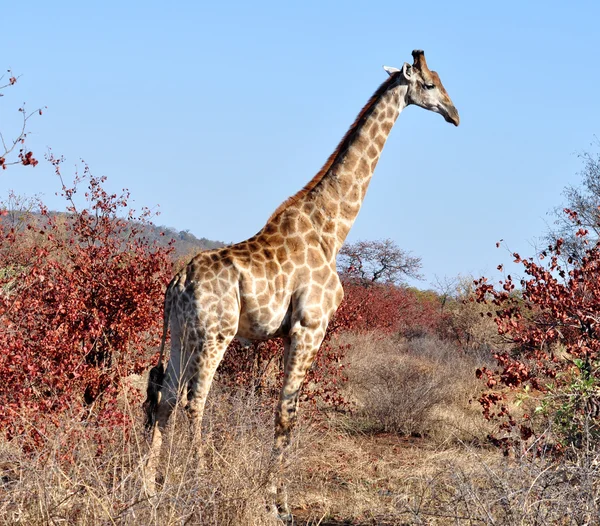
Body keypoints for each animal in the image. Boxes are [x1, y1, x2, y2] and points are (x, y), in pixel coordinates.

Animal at [144, 51, 460, 520]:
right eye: (430, 85)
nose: (455, 115)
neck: (332, 228)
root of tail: (176, 283)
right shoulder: (310, 326)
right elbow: (287, 410)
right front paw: (277, 501)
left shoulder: (290, 332)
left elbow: (283, 407)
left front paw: (273, 495)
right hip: (215, 334)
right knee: (194, 400)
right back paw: (198, 482)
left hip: (183, 334)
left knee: (165, 398)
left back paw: (150, 487)